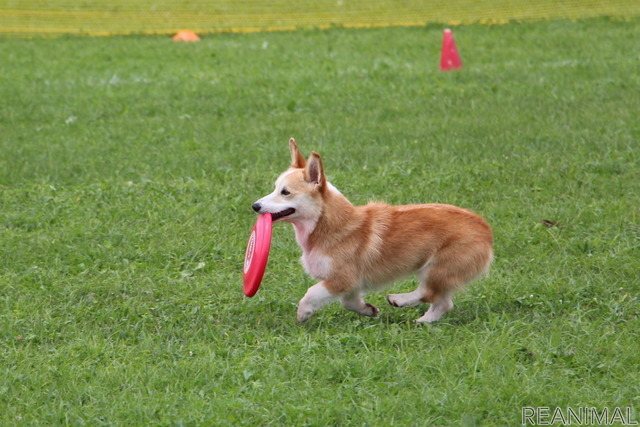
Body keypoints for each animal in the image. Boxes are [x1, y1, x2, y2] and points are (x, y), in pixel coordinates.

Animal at [252, 140, 492, 324]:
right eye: (275, 188)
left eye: (285, 192)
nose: (255, 206)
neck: (327, 225)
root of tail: (486, 229)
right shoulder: (350, 285)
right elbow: (349, 302)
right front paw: (368, 309)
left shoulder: (341, 279)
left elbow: (312, 293)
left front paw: (303, 313)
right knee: (442, 302)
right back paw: (423, 321)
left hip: (436, 268)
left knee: (429, 293)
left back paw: (399, 300)